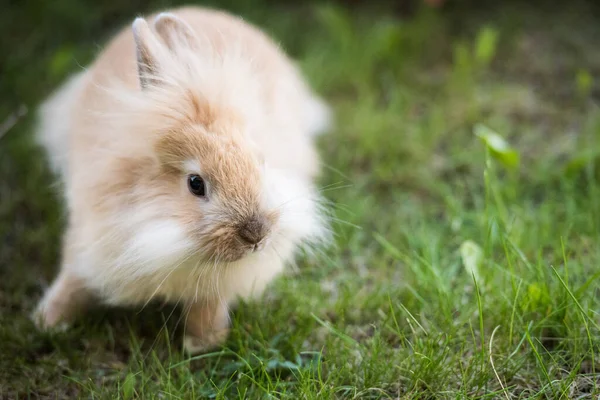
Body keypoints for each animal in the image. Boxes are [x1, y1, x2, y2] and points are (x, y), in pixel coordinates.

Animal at [32, 4, 332, 352]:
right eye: (195, 184)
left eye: (261, 160)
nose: (256, 235)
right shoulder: (88, 239)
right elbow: (73, 279)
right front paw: (47, 322)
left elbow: (209, 305)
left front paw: (202, 342)